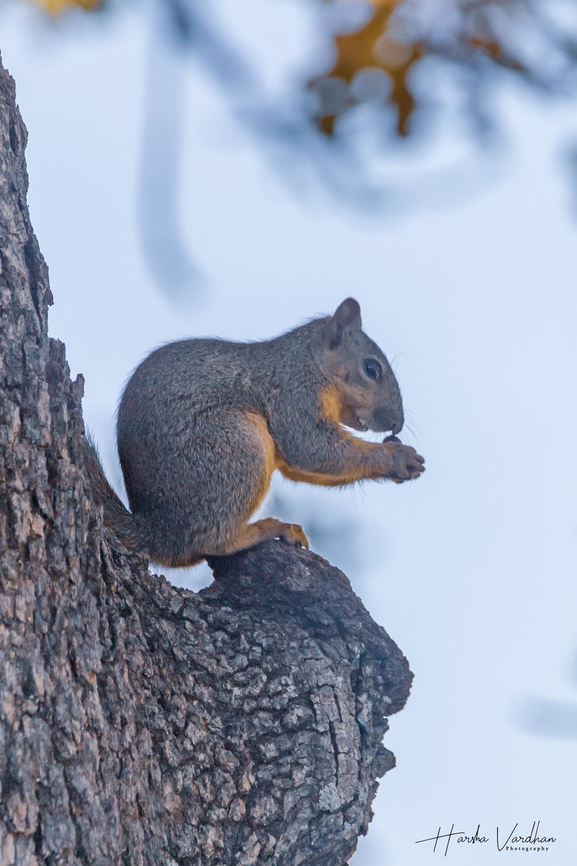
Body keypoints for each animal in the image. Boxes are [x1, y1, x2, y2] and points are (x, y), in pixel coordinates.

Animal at [84, 298, 424, 568]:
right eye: (371, 369)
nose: (397, 424)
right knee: (211, 541)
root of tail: (158, 531)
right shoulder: (293, 393)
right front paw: (395, 456)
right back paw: (268, 529)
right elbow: (310, 446)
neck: (311, 361)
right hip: (233, 448)